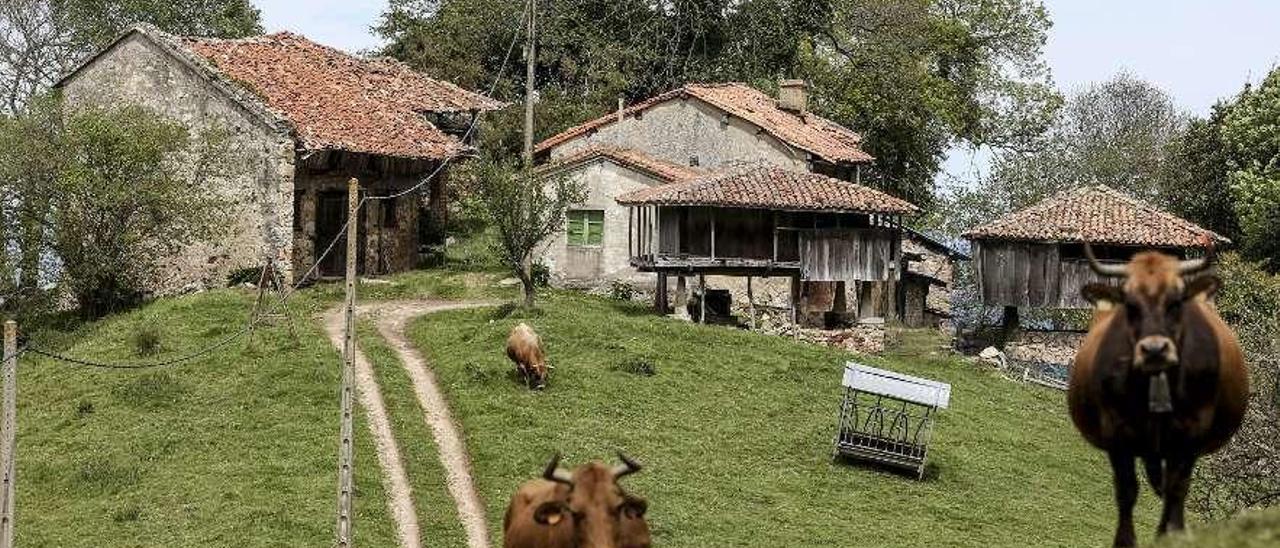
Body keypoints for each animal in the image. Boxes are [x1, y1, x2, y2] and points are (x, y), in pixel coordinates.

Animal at [1070, 244, 1249, 548]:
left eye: (1176, 302)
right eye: (1130, 305)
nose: (1154, 350)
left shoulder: (1191, 433)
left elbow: (1177, 488)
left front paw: (1171, 535)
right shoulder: (1116, 432)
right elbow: (1127, 489)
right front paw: (1125, 541)